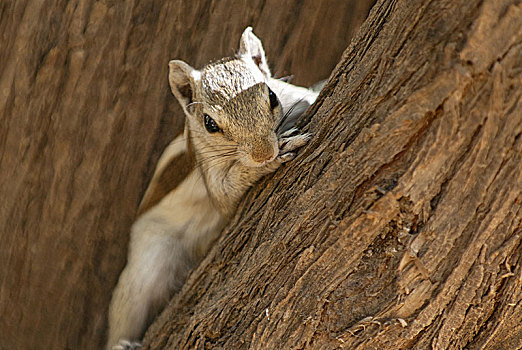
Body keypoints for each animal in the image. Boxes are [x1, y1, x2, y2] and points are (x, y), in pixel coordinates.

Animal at [107, 28, 318, 350]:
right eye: (209, 123)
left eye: (271, 95)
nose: (263, 154)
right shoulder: (211, 171)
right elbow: (226, 196)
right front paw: (269, 160)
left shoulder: (295, 95)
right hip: (145, 264)